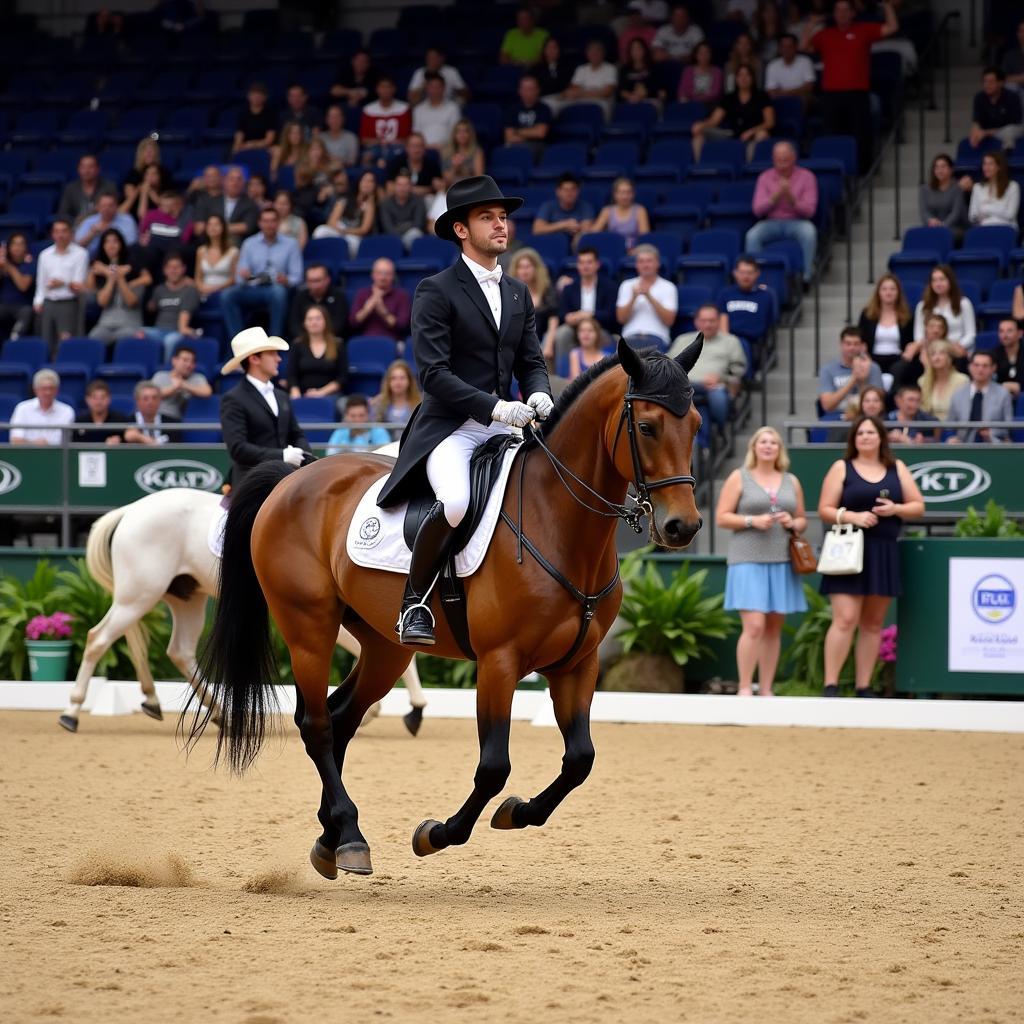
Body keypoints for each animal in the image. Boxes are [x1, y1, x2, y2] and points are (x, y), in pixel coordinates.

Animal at [58, 489, 425, 737]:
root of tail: (132, 509)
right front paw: (405, 710)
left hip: (185, 598)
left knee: (179, 651)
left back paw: (210, 710)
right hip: (139, 594)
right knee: (98, 639)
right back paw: (72, 712)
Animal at [190, 337, 704, 880]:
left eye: (694, 425)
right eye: (646, 427)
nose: (683, 527)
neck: (558, 522)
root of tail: (294, 478)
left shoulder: (577, 664)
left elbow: (580, 759)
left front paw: (517, 812)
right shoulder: (500, 662)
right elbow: (494, 766)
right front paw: (436, 834)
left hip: (386, 646)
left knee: (341, 716)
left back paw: (332, 838)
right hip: (309, 628)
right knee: (317, 725)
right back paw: (349, 836)